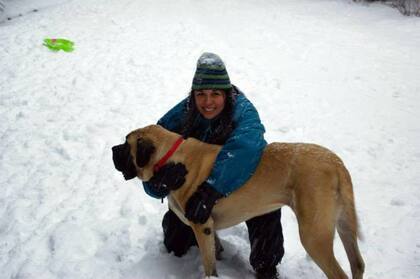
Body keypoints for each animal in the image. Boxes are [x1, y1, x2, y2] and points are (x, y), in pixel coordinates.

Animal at [111, 126, 364, 278]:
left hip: (314, 235)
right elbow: (215, 247)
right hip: (343, 223)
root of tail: (337, 164)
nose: (113, 148)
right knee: (357, 263)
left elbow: (209, 263)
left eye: (125, 144)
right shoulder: (208, 224)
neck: (171, 161)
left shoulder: (201, 225)